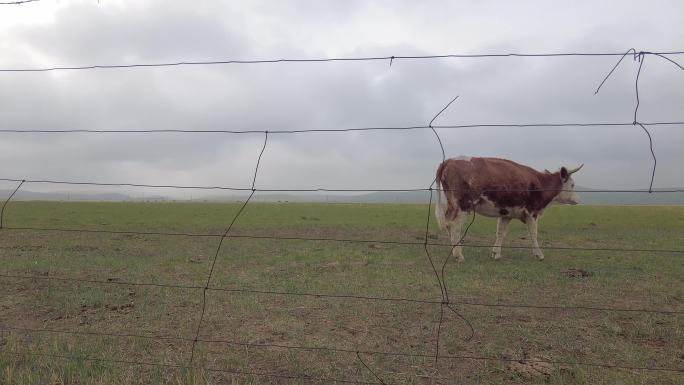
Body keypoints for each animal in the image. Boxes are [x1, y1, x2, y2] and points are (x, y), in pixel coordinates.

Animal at [436, 156, 580, 260]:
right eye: (572, 184)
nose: (578, 200)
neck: (540, 182)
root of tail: (450, 160)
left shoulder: (506, 213)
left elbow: (501, 233)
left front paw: (496, 253)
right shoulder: (532, 212)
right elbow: (533, 233)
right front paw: (539, 254)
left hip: (452, 205)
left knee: (448, 224)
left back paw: (454, 252)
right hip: (463, 206)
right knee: (455, 226)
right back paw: (458, 255)